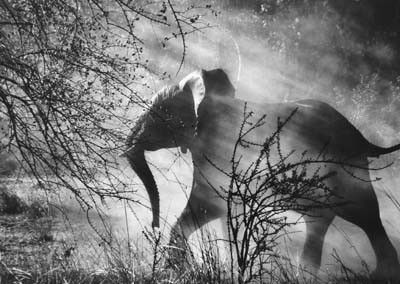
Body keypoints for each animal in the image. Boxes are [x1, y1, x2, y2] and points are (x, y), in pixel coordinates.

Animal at [123, 69, 400, 278]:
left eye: (158, 111)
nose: (153, 226)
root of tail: (363, 139)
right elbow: (216, 212)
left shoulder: (221, 151)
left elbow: (210, 206)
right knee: (323, 222)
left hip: (346, 170)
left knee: (365, 214)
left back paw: (379, 275)